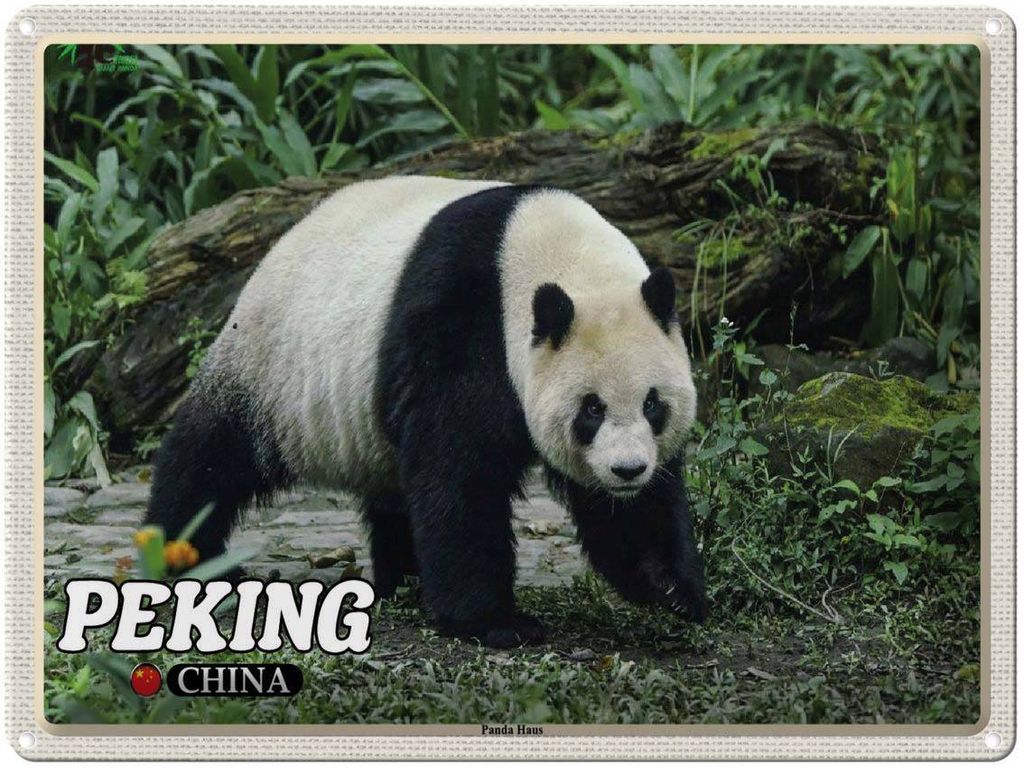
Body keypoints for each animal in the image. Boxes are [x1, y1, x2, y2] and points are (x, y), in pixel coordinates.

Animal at [145, 176, 708, 647]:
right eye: (591, 409)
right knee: (211, 456)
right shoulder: (463, 321)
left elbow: (633, 509)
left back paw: (403, 579)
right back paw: (187, 558)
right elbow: (458, 470)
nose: (627, 470)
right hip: (274, 369)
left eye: (653, 404)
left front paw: (670, 586)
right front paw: (494, 622)